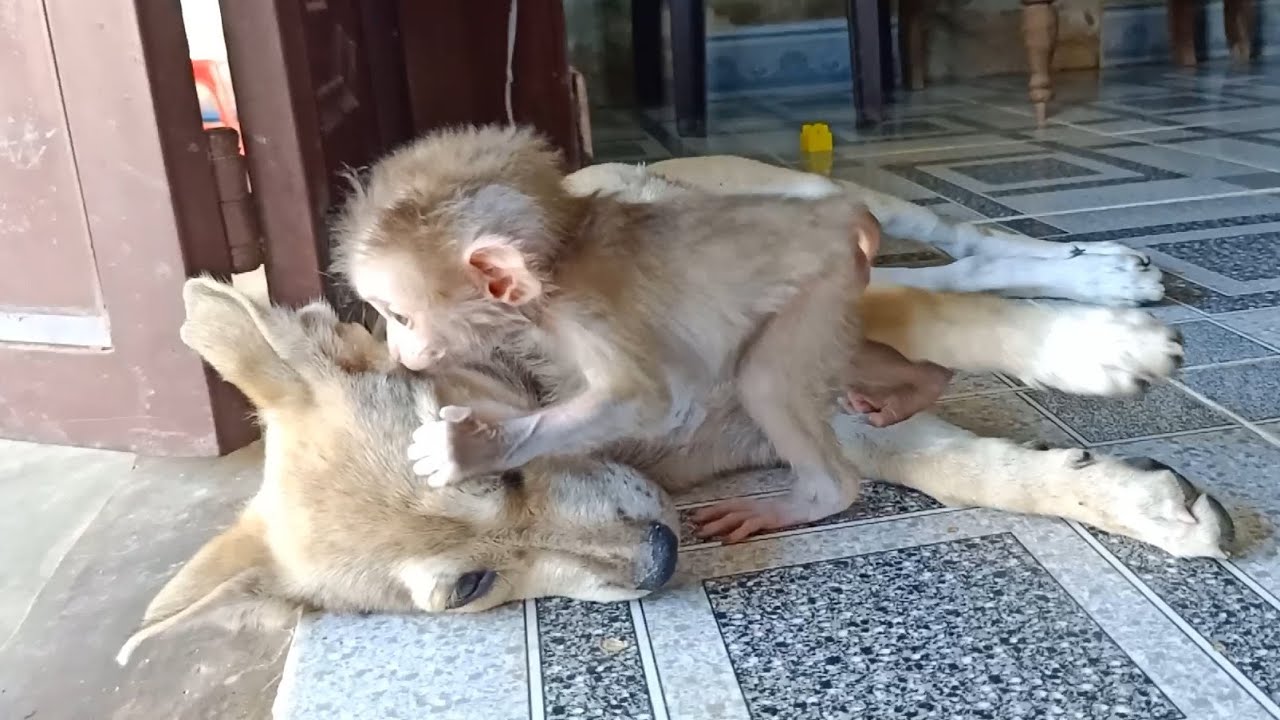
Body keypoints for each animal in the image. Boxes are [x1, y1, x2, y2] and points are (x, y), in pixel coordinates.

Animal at [333, 125, 927, 540]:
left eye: (401, 317)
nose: (398, 350)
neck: (559, 261)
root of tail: (836, 215)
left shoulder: (583, 314)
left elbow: (643, 402)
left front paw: (470, 449)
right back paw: (918, 383)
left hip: (821, 287)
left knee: (762, 380)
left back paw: (821, 494)